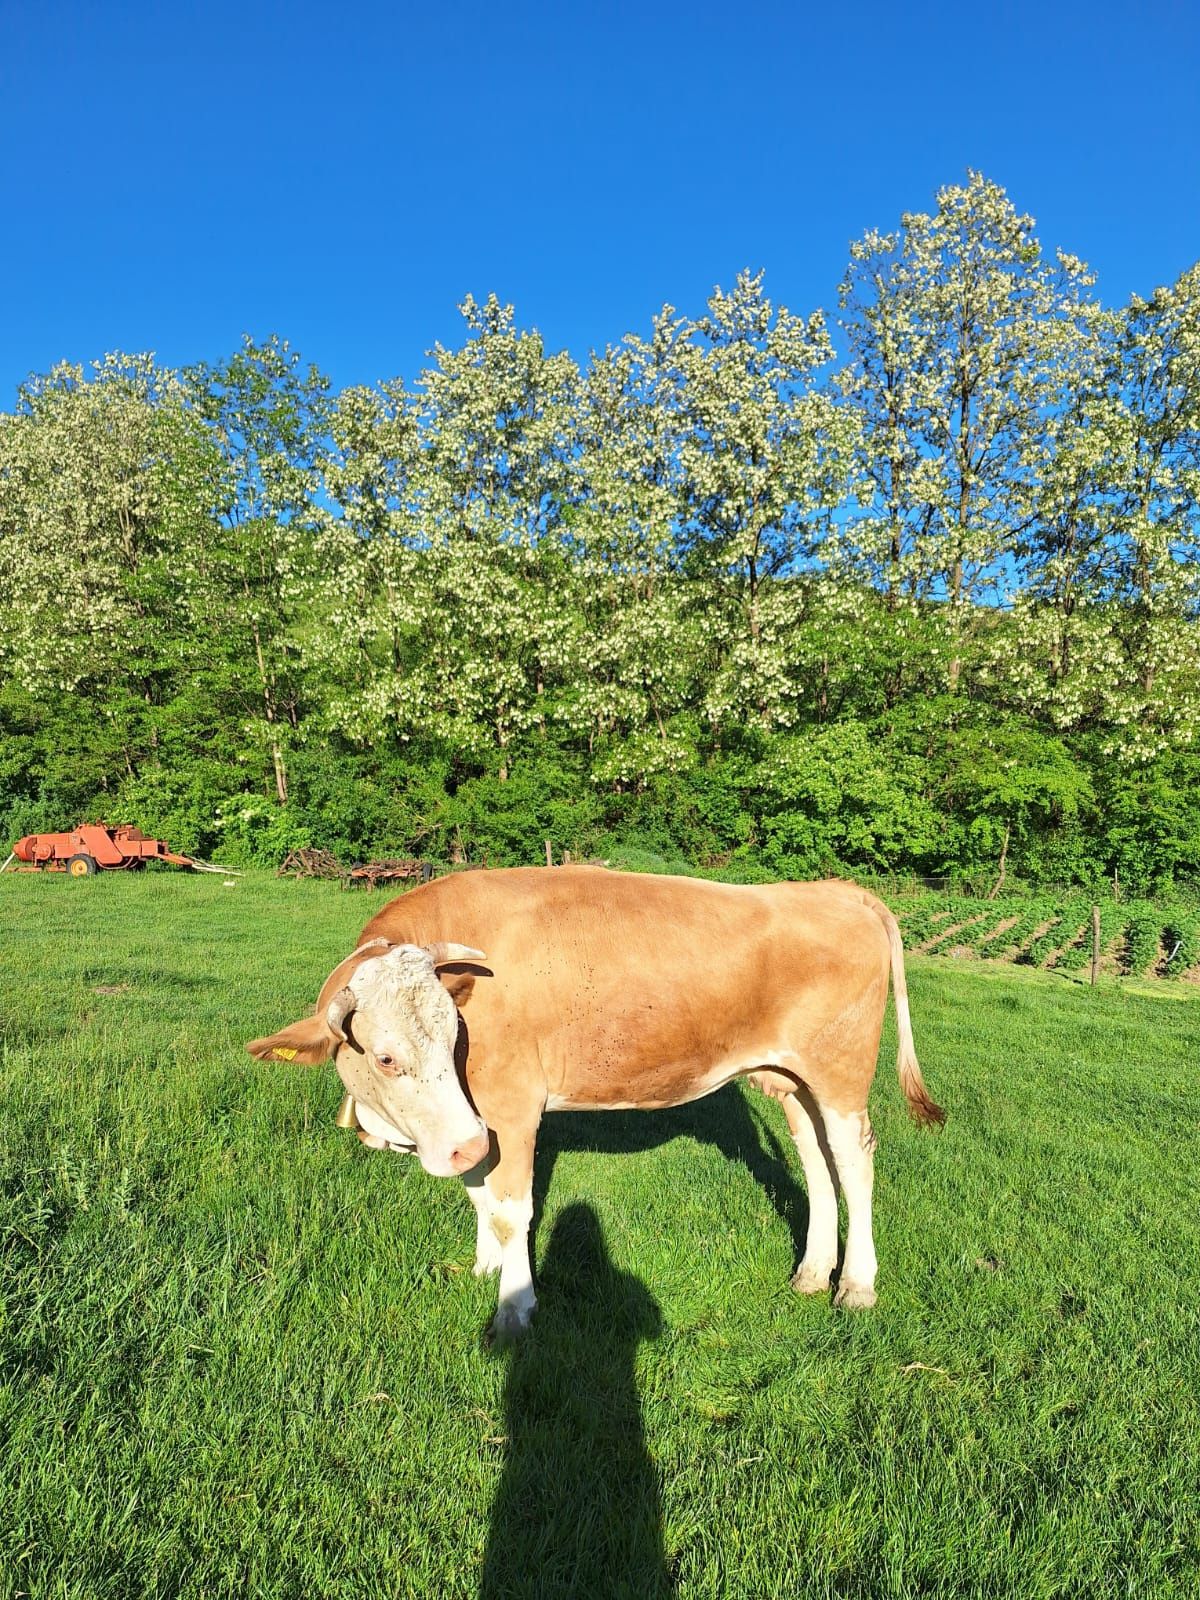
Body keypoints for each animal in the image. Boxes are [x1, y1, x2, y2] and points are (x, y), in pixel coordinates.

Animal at [249, 864, 947, 1337]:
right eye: (387, 1057)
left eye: (451, 1037)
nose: (461, 1144)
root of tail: (834, 889)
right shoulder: (471, 1120)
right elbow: (478, 1193)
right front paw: (485, 1267)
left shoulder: (510, 1106)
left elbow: (511, 1210)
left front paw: (515, 1306)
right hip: (789, 1077)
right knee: (816, 1158)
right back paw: (812, 1272)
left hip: (839, 1072)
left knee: (853, 1160)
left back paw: (855, 1285)